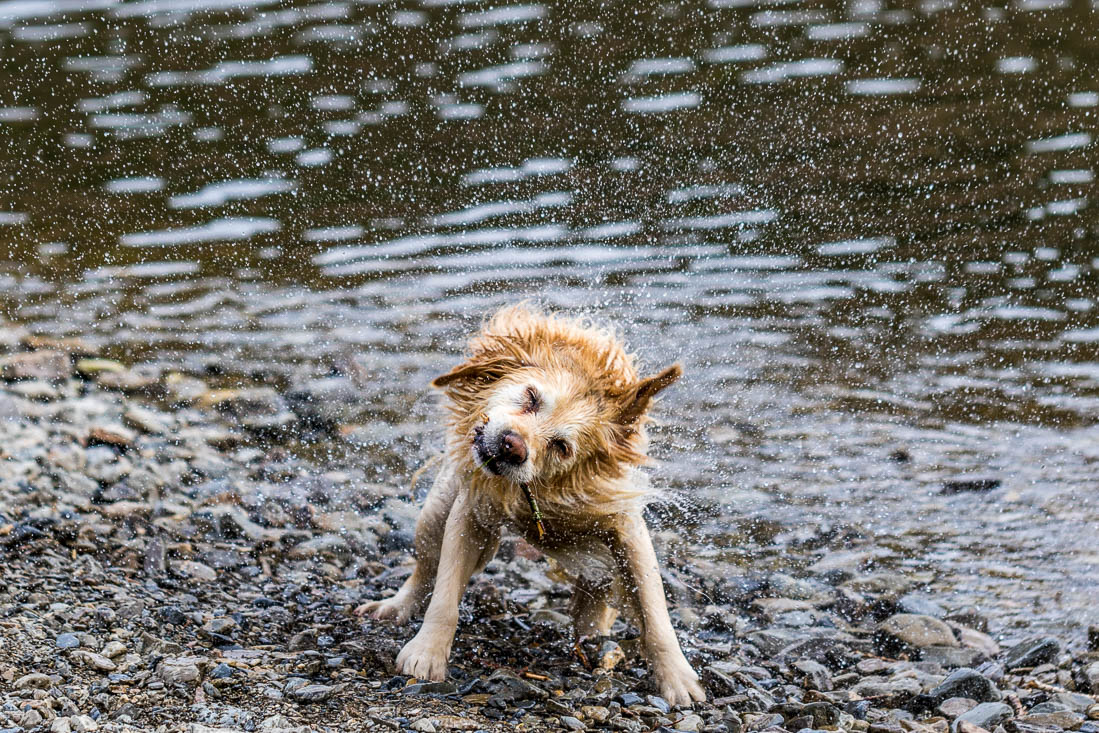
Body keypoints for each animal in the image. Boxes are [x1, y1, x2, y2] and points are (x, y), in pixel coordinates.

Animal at [357, 304, 705, 705]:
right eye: (532, 397)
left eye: (562, 446)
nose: (512, 446)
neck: (535, 492)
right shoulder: (470, 512)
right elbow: (444, 596)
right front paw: (427, 652)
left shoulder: (623, 522)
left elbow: (655, 611)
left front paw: (677, 677)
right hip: (433, 514)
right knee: (426, 568)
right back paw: (394, 607)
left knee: (599, 590)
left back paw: (594, 633)